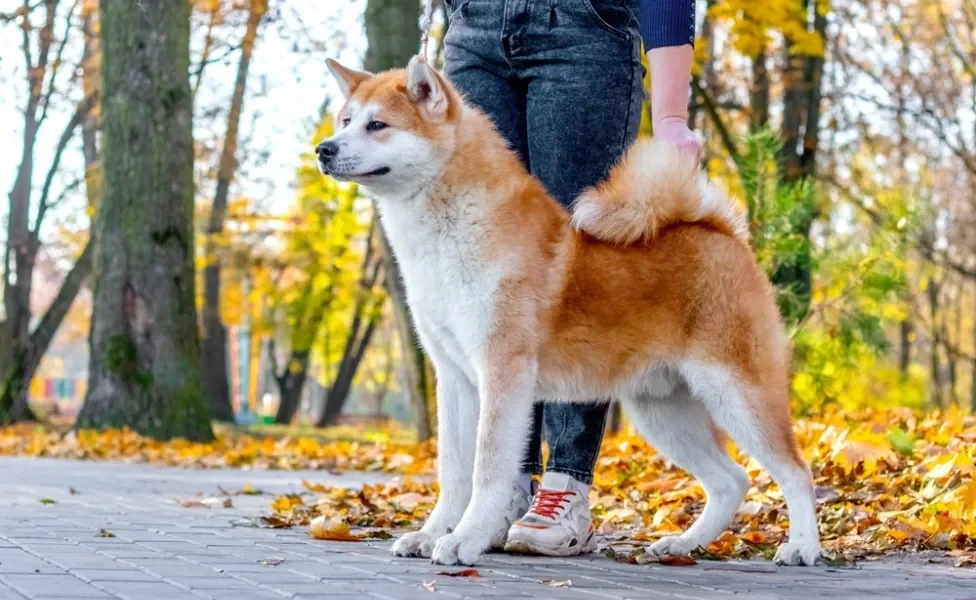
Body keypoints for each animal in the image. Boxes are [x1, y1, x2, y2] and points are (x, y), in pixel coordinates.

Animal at [320, 56, 824, 568]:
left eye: (377, 125)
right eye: (345, 121)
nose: (324, 149)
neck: (454, 229)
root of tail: (720, 231)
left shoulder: (503, 371)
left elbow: (486, 468)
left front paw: (465, 539)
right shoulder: (456, 377)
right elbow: (454, 471)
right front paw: (431, 533)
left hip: (737, 394)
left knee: (795, 472)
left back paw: (802, 547)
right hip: (663, 412)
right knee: (730, 481)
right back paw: (681, 544)